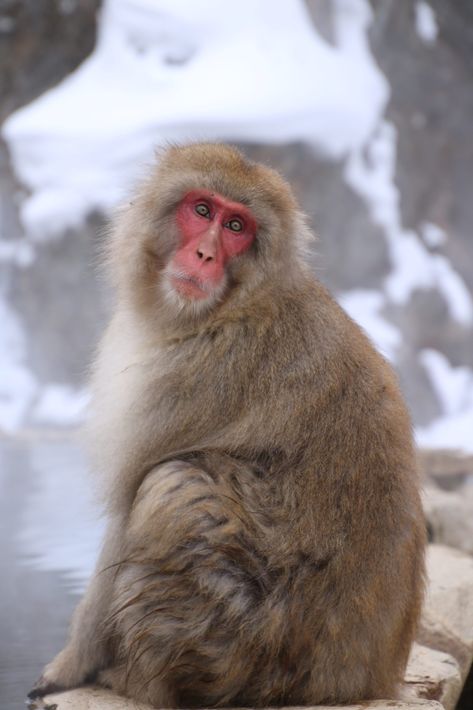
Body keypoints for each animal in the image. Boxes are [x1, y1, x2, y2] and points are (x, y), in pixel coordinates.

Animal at [31, 142, 426, 708]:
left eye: (237, 226)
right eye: (202, 211)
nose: (205, 254)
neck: (230, 307)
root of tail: (362, 682)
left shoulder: (195, 376)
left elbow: (127, 505)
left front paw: (70, 665)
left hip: (246, 648)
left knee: (173, 485)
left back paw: (140, 681)